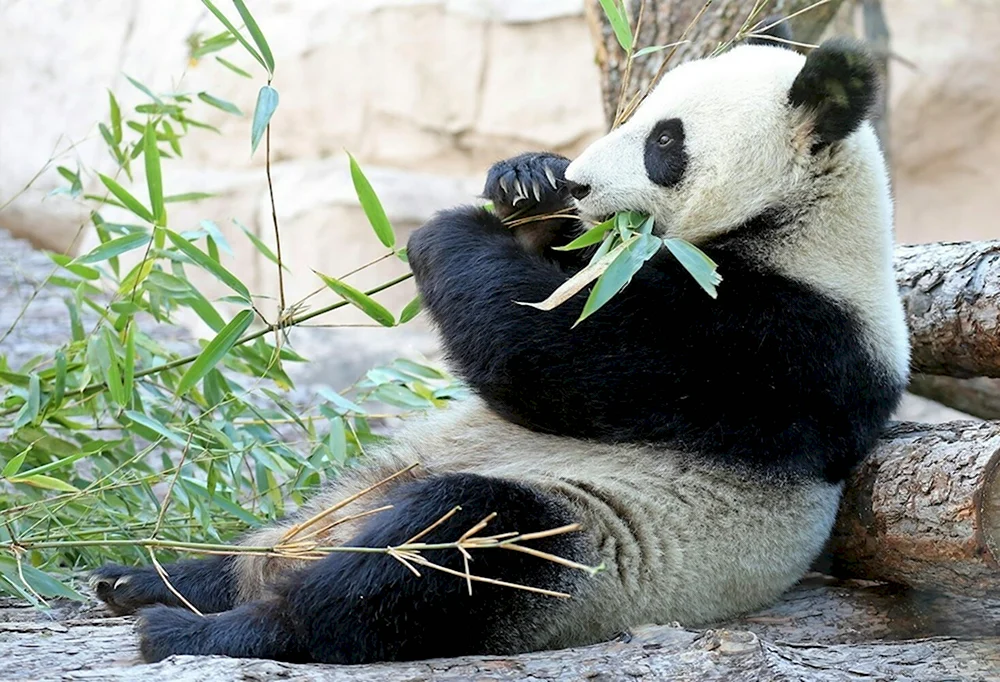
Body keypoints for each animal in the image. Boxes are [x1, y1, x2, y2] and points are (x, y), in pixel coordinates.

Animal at [90, 29, 912, 660]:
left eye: (664, 141)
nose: (578, 183)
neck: (805, 219)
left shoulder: (787, 345)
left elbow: (557, 353)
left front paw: (454, 226)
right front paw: (525, 181)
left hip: (580, 542)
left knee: (441, 553)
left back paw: (202, 628)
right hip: (392, 465)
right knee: (305, 529)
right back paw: (152, 579)